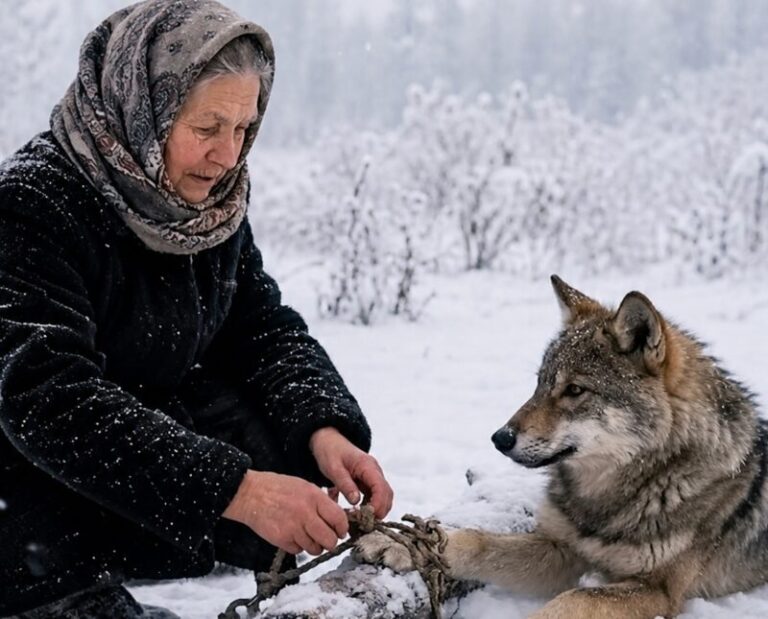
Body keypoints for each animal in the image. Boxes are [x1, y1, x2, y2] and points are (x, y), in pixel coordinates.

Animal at [357, 275, 768, 618]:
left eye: (574, 390)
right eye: (539, 384)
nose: (500, 438)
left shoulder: (659, 590)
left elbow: (576, 599)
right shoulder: (561, 548)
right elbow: (477, 541)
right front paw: (406, 544)